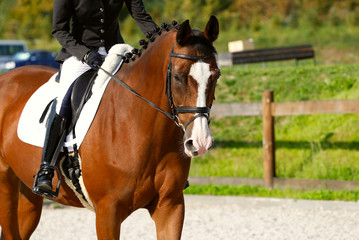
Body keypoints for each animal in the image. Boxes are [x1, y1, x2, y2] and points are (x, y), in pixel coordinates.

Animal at [0, 15, 221, 239]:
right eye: (178, 76)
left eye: (216, 76)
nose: (201, 142)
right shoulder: (107, 211)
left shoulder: (170, 207)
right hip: (5, 182)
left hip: (28, 190)